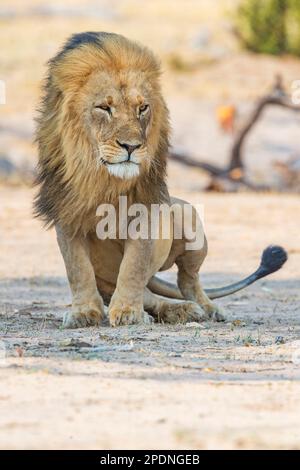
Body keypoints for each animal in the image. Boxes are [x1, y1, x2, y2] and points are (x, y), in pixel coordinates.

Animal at [33, 32, 288, 326]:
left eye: (142, 108)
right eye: (104, 108)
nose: (131, 146)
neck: (104, 180)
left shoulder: (146, 210)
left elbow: (133, 265)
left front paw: (128, 313)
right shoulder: (66, 213)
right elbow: (78, 269)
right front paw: (84, 312)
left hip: (188, 216)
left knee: (186, 280)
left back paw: (202, 309)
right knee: (149, 294)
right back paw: (177, 310)